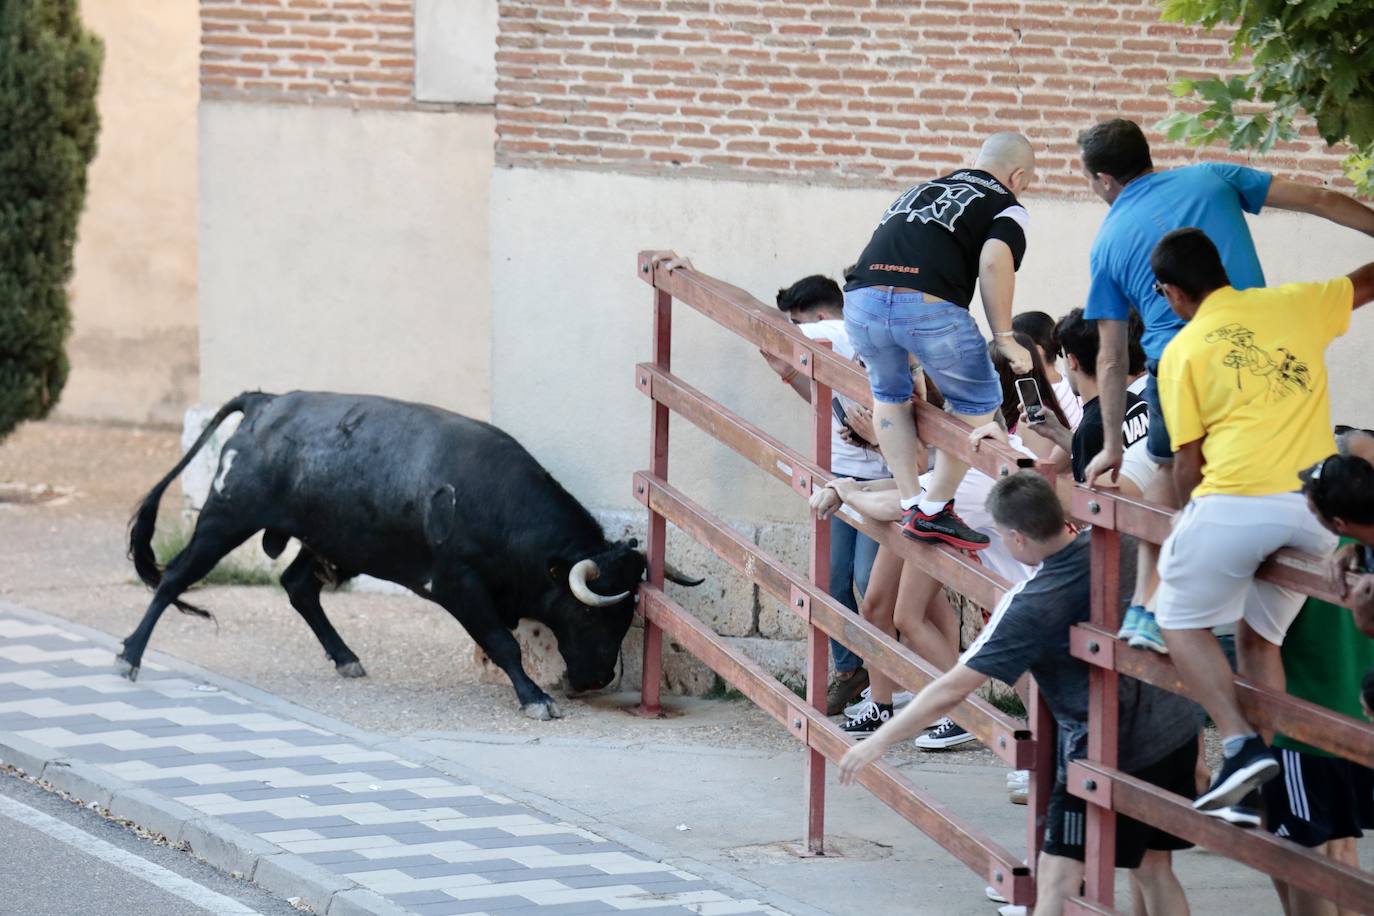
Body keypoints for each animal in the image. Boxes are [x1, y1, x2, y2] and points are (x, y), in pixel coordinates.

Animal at [118, 390, 697, 719]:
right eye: (588, 611)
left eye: (629, 615)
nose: (598, 678)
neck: (493, 504)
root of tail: (267, 401)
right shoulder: (458, 585)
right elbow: (503, 644)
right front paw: (535, 699)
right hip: (226, 518)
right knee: (174, 578)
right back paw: (129, 656)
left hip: (335, 540)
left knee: (298, 586)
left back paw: (346, 658)